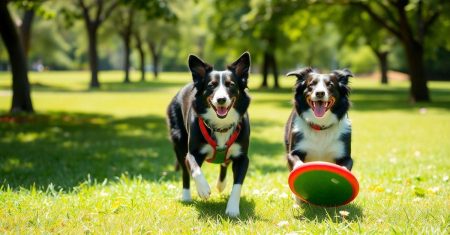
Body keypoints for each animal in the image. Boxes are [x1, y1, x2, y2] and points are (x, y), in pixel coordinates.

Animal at [167, 52, 251, 218]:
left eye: (231, 84)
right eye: (211, 85)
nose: (221, 99)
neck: (221, 126)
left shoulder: (242, 157)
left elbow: (238, 184)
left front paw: (232, 208)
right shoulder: (192, 152)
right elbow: (195, 169)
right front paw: (203, 189)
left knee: (225, 163)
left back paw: (221, 184)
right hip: (178, 141)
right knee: (185, 171)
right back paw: (186, 196)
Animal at [284, 67, 356, 203]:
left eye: (330, 85)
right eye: (311, 85)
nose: (320, 93)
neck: (320, 127)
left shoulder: (345, 155)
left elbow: (345, 167)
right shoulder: (293, 152)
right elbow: (297, 164)